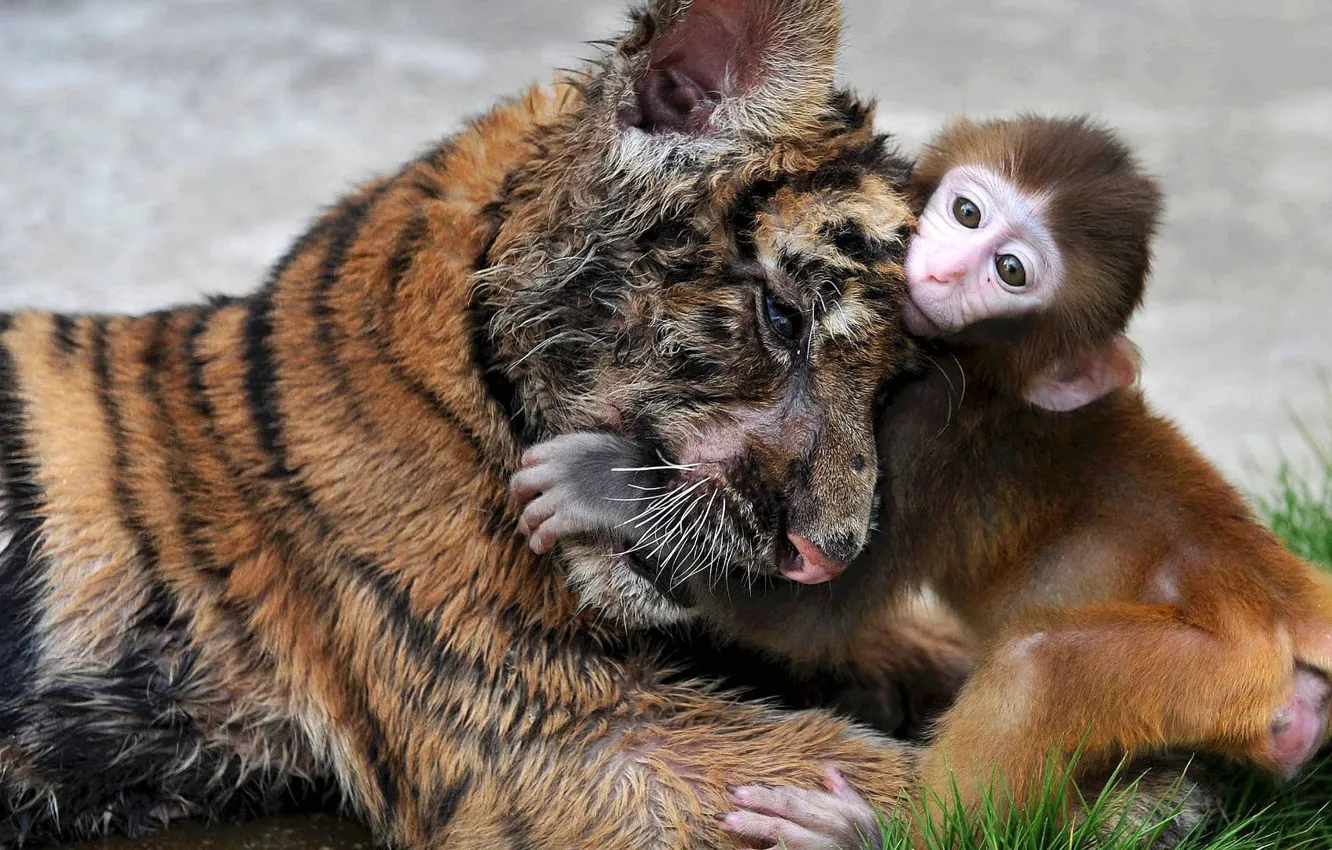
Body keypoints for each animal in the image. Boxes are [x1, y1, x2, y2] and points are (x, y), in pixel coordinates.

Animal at [511, 115, 1332, 847]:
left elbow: (812, 614)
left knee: (1039, 668)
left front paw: (610, 486)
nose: (939, 270)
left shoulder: (929, 423)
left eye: (1010, 272)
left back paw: (878, 836)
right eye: (968, 211)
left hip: (1218, 671)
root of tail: (1295, 597)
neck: (990, 374)